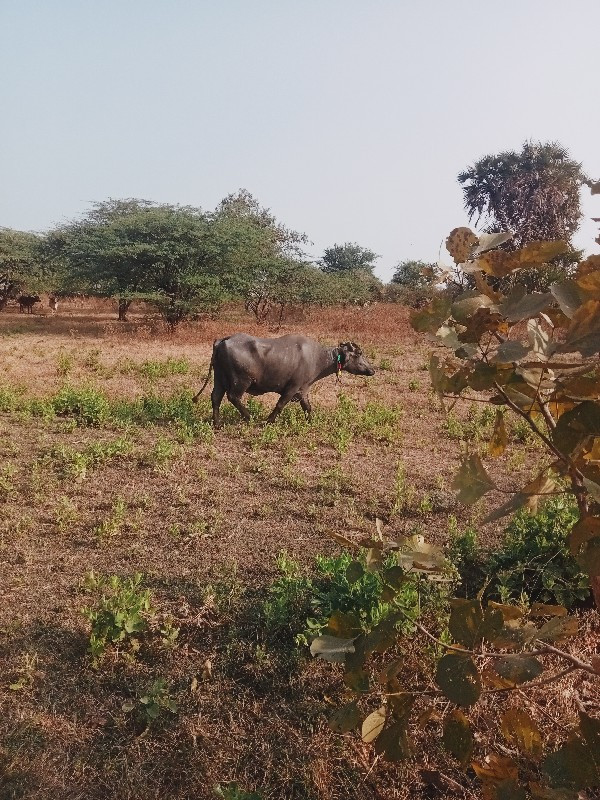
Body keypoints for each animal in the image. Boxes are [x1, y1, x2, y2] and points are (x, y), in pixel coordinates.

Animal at [193, 332, 376, 428]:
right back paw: (249, 416)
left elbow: (307, 407)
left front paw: (311, 421)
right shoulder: (292, 388)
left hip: (219, 378)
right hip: (241, 381)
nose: (372, 370)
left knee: (216, 397)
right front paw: (268, 421)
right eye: (359, 354)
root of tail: (223, 340)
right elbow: (280, 405)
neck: (317, 357)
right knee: (233, 397)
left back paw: (217, 423)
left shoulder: (303, 389)